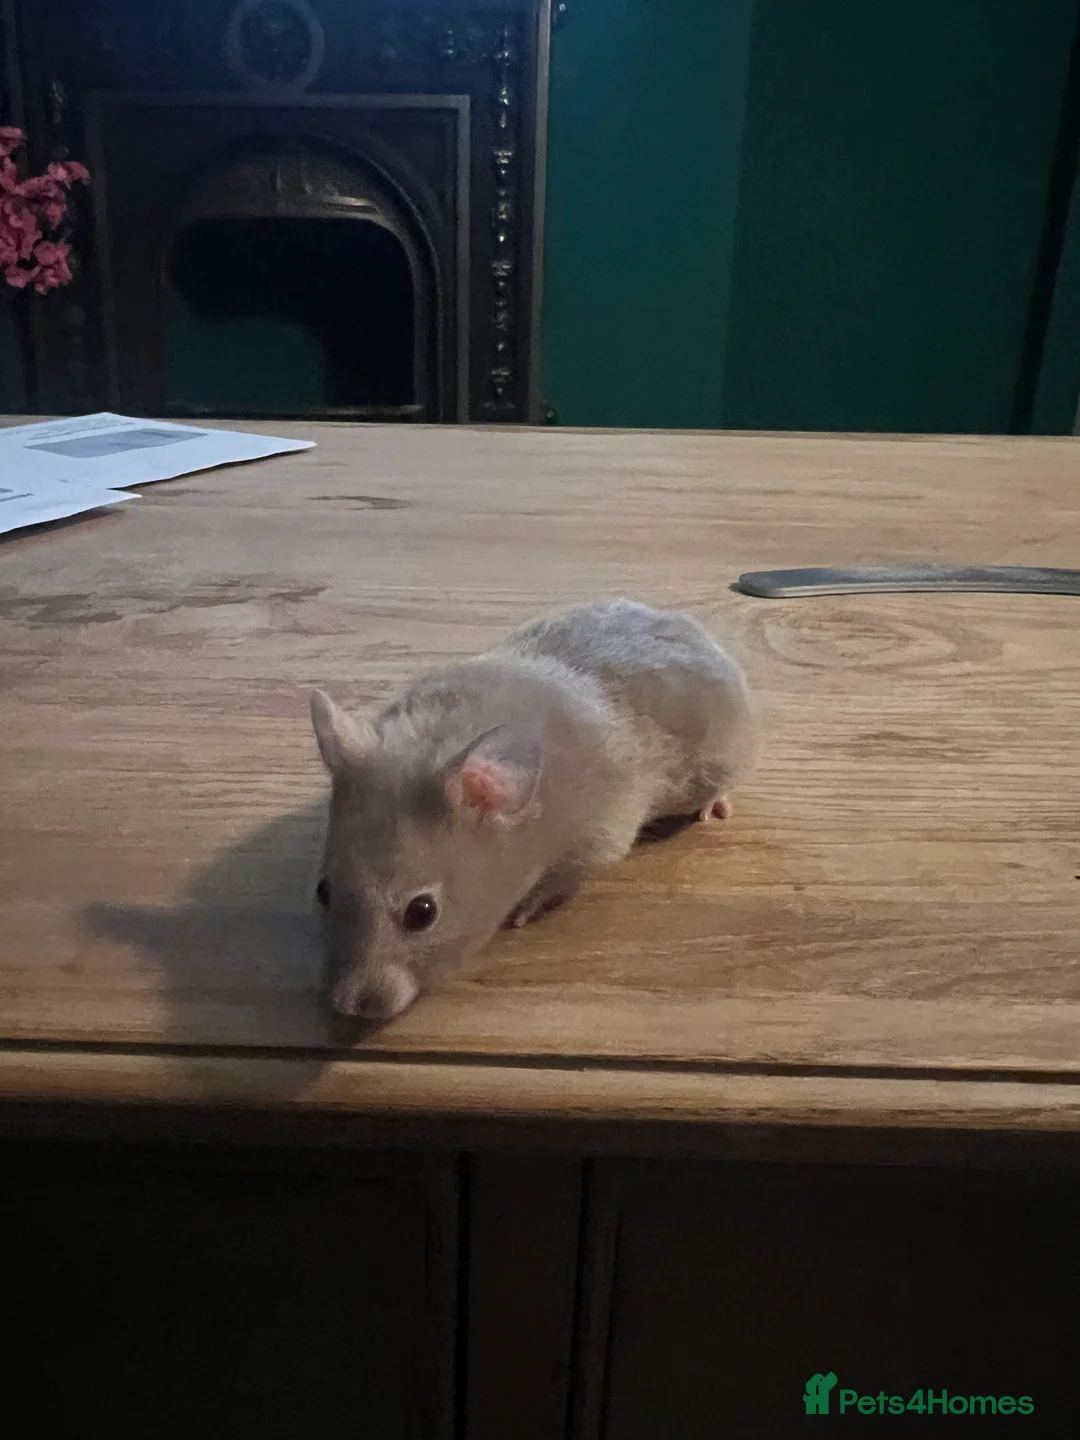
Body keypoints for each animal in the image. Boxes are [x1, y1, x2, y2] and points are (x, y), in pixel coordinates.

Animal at [309, 598, 758, 1020]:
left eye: (422, 912)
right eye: (322, 891)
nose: (349, 1007)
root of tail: (697, 630)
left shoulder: (600, 836)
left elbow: (565, 879)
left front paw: (524, 914)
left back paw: (712, 809)